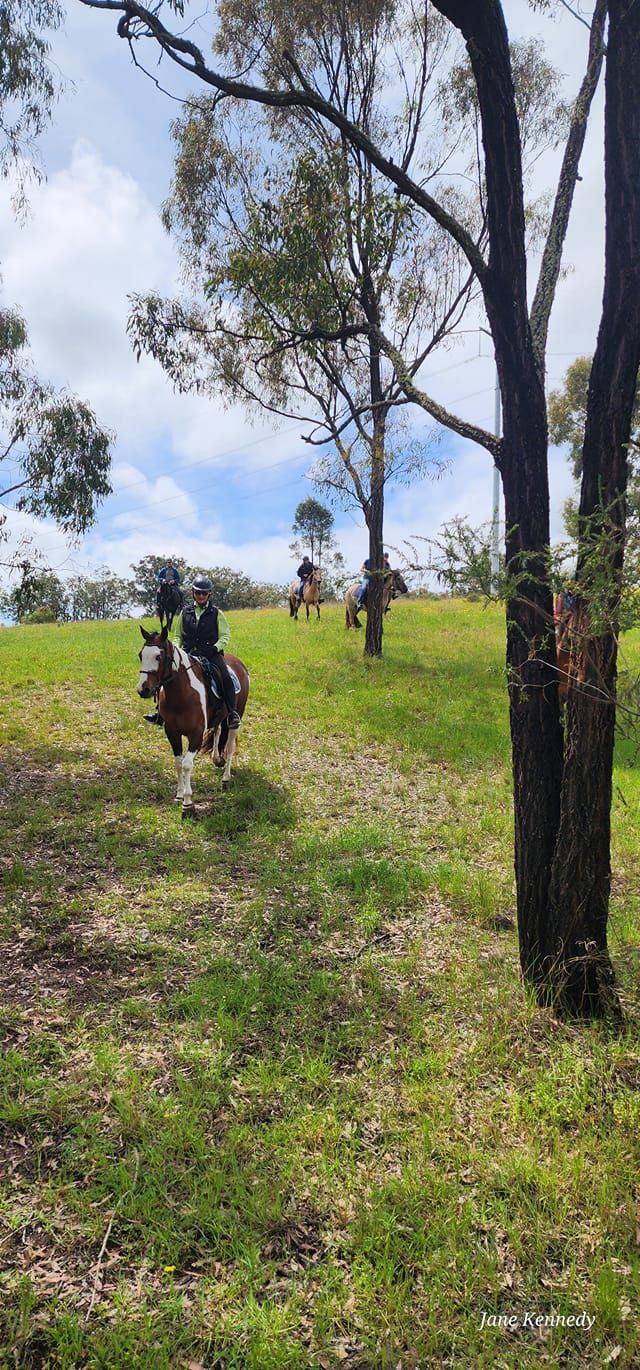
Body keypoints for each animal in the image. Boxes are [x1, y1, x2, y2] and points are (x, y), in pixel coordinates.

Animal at [137, 627, 250, 811]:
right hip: (218, 717)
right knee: (218, 731)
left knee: (230, 745)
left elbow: (186, 764)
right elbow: (178, 762)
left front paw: (188, 803)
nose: (143, 690)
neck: (181, 694)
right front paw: (179, 794)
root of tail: (238, 663)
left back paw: (225, 778)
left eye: (159, 656)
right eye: (141, 655)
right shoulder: (172, 731)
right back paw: (217, 759)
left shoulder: (196, 733)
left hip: (236, 715)